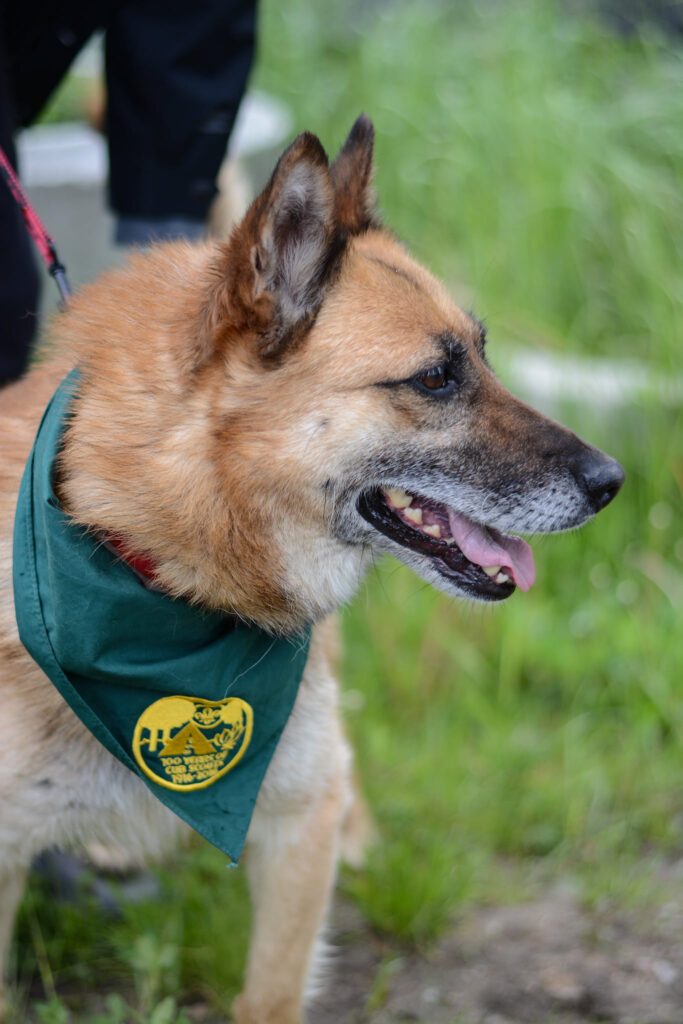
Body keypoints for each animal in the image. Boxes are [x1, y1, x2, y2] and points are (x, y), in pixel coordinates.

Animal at [0, 116, 626, 1019]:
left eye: (482, 355)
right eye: (435, 378)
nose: (612, 482)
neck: (161, 568)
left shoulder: (296, 826)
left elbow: (269, 994)